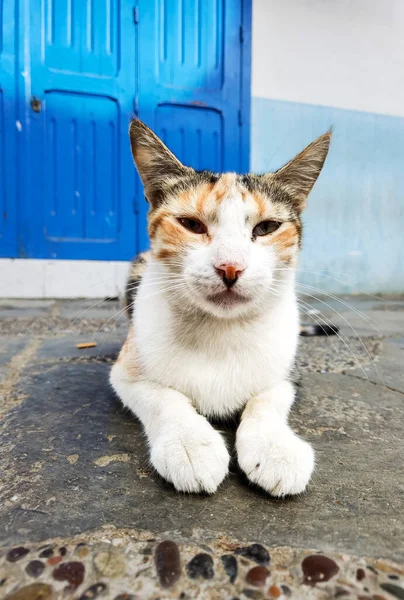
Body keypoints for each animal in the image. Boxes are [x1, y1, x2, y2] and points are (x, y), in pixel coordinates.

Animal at [110, 118, 332, 496]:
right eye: (191, 225)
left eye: (267, 227)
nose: (230, 267)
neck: (220, 328)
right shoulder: (124, 373)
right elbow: (162, 396)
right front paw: (189, 444)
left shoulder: (288, 374)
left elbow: (268, 398)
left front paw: (276, 448)